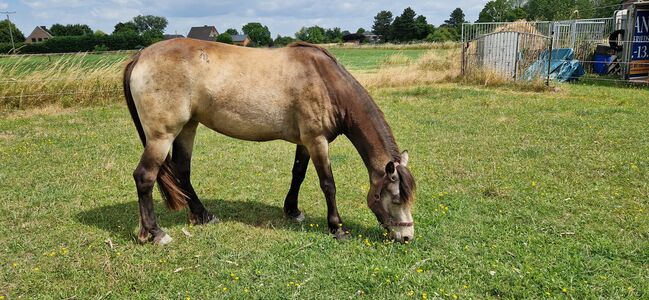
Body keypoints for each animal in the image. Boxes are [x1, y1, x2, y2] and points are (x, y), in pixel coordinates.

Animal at [122, 38, 416, 244]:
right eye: (396, 199)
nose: (407, 237)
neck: (325, 82)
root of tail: (140, 56)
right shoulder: (317, 141)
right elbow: (328, 185)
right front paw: (337, 227)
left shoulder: (305, 142)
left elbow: (298, 174)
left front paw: (293, 210)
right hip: (162, 136)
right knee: (144, 177)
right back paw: (156, 233)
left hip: (188, 127)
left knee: (182, 171)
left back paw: (202, 215)